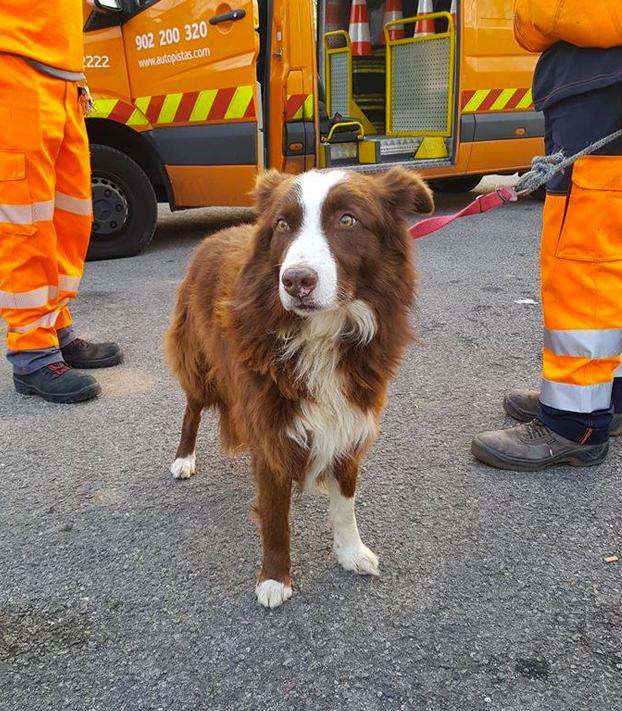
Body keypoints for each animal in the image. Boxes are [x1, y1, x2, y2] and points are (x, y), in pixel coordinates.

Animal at [168, 165, 436, 608]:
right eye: (282, 224)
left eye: (347, 220)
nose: (295, 281)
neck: (321, 333)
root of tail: (214, 236)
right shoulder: (271, 423)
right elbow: (275, 515)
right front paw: (275, 579)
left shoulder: (350, 418)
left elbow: (345, 504)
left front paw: (351, 552)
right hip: (200, 360)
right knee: (192, 409)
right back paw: (183, 459)